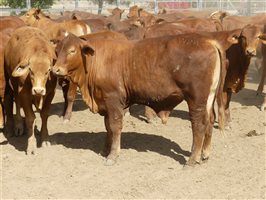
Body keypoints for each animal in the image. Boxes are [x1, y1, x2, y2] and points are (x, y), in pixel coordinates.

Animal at [3, 26, 57, 154]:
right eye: (31, 70)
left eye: (48, 71)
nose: (38, 91)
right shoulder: (25, 94)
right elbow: (30, 118)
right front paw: (31, 145)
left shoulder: (50, 94)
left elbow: (44, 115)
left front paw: (45, 139)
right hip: (11, 80)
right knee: (13, 100)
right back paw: (16, 126)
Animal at [53, 30, 240, 166]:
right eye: (57, 50)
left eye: (72, 50)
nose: (55, 70)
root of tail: (209, 41)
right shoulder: (105, 101)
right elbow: (108, 127)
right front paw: (105, 149)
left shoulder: (114, 100)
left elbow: (114, 126)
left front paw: (113, 155)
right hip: (208, 99)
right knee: (209, 121)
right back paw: (205, 154)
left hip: (196, 100)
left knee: (199, 125)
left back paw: (192, 159)